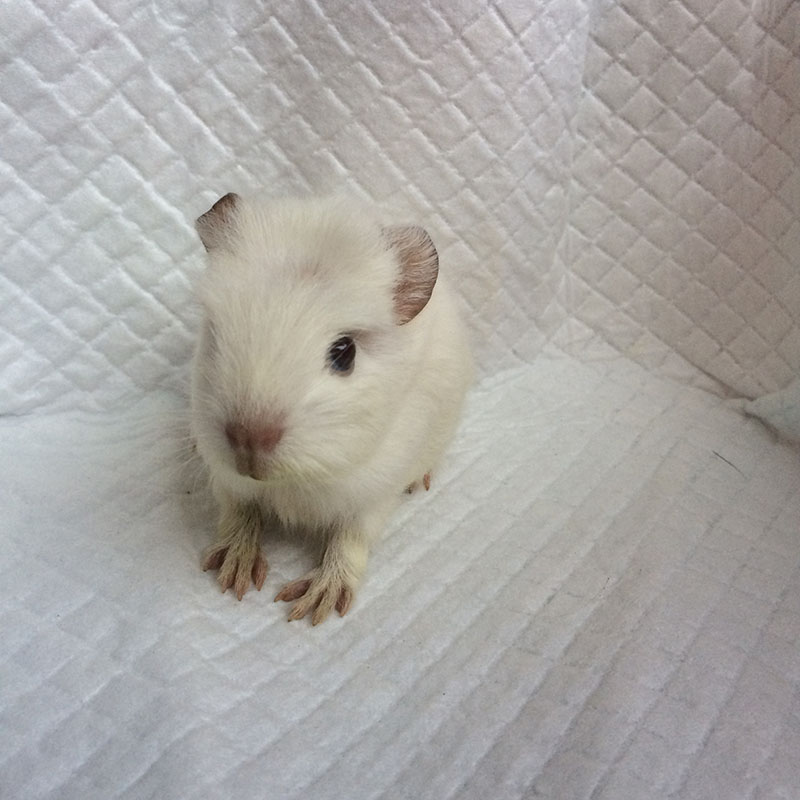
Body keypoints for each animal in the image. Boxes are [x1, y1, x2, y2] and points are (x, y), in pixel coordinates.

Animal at [190, 193, 473, 624]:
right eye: (215, 334)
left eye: (345, 353)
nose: (248, 438)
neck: (294, 481)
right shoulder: (227, 480)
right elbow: (238, 513)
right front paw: (233, 574)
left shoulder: (372, 496)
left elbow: (350, 540)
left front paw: (314, 605)